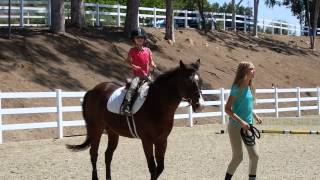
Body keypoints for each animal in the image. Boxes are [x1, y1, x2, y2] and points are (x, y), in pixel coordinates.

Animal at [66, 59, 205, 180]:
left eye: (200, 81)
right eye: (188, 81)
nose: (201, 105)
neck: (156, 103)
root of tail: (93, 90)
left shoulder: (162, 140)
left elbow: (160, 168)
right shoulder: (147, 141)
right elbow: (152, 168)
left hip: (112, 132)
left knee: (108, 155)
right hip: (96, 129)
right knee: (94, 154)